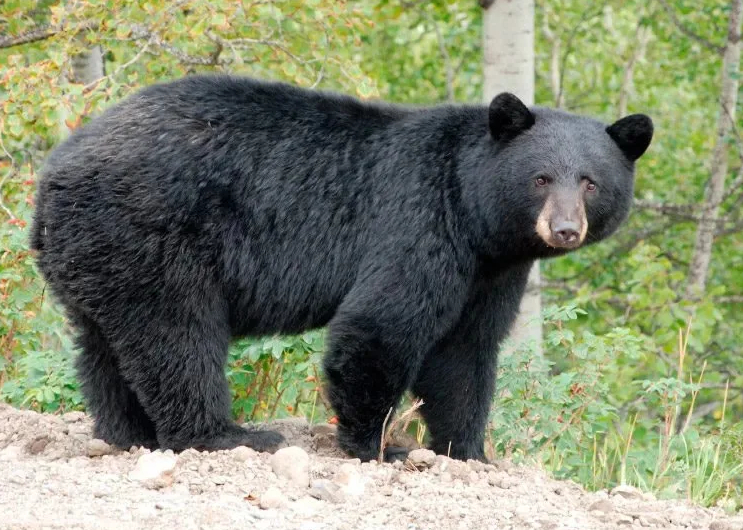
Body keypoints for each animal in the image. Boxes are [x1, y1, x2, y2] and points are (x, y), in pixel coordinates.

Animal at [31, 74, 653, 462]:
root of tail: (53, 174)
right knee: (176, 336)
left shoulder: (491, 271)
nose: (565, 229)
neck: (475, 214)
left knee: (104, 346)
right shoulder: (418, 221)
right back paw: (225, 435)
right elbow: (381, 325)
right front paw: (379, 445)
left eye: (590, 182)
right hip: (152, 235)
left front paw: (468, 450)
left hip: (97, 253)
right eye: (541, 178)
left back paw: (127, 433)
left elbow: (465, 351)